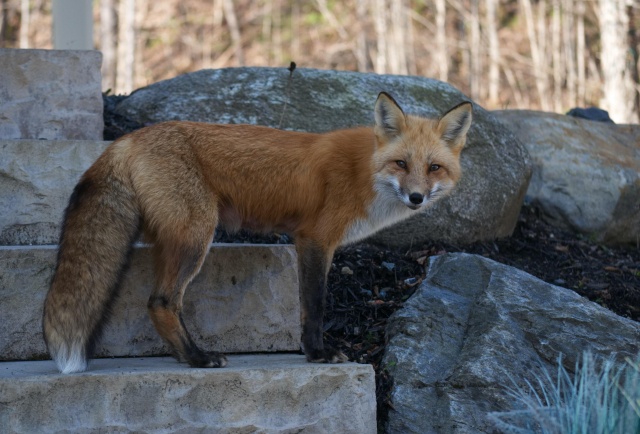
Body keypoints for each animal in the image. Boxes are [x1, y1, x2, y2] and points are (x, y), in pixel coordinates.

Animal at [42, 92, 472, 374]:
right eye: (401, 163)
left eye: (434, 168)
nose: (416, 197)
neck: (364, 170)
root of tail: (127, 138)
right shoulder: (315, 239)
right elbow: (314, 306)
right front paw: (317, 354)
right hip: (196, 238)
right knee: (162, 302)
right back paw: (198, 359)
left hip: (176, 239)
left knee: (158, 303)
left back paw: (184, 356)